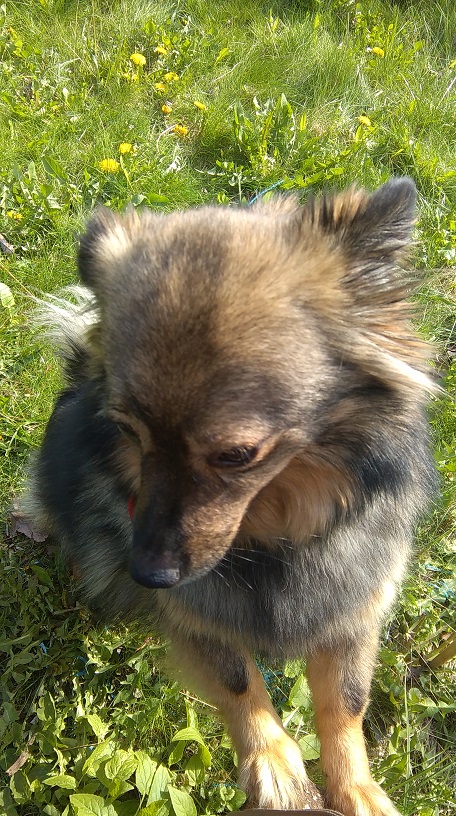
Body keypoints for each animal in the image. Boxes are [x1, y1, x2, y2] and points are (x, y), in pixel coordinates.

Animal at [24, 178, 437, 816]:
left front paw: (357, 789)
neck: (277, 534)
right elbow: (238, 677)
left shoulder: (354, 601)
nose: (147, 574)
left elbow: (347, 701)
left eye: (236, 456)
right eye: (129, 431)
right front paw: (273, 762)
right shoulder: (196, 608)